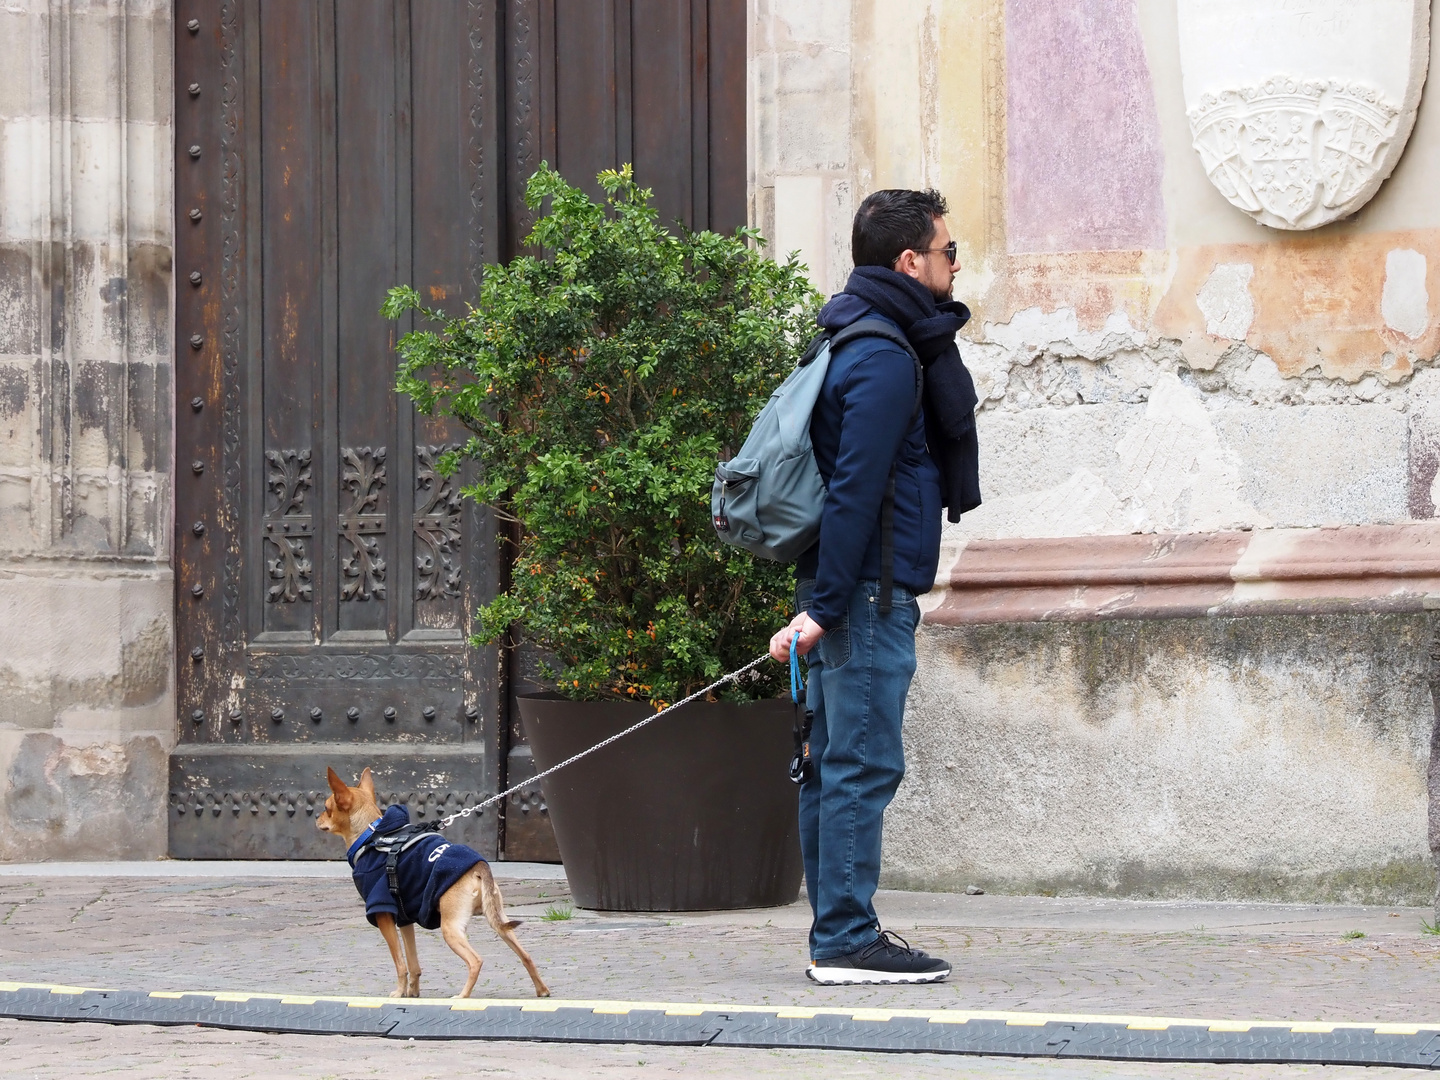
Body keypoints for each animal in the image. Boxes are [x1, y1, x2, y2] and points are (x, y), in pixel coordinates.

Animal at [318, 766, 547, 1002]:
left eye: (326, 808)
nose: (317, 819)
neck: (370, 835)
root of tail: (478, 867)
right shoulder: (404, 919)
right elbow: (413, 963)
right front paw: (412, 992)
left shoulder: (383, 914)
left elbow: (400, 962)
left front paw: (399, 992)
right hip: (499, 922)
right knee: (526, 956)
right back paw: (542, 990)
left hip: (451, 928)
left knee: (475, 961)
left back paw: (463, 996)